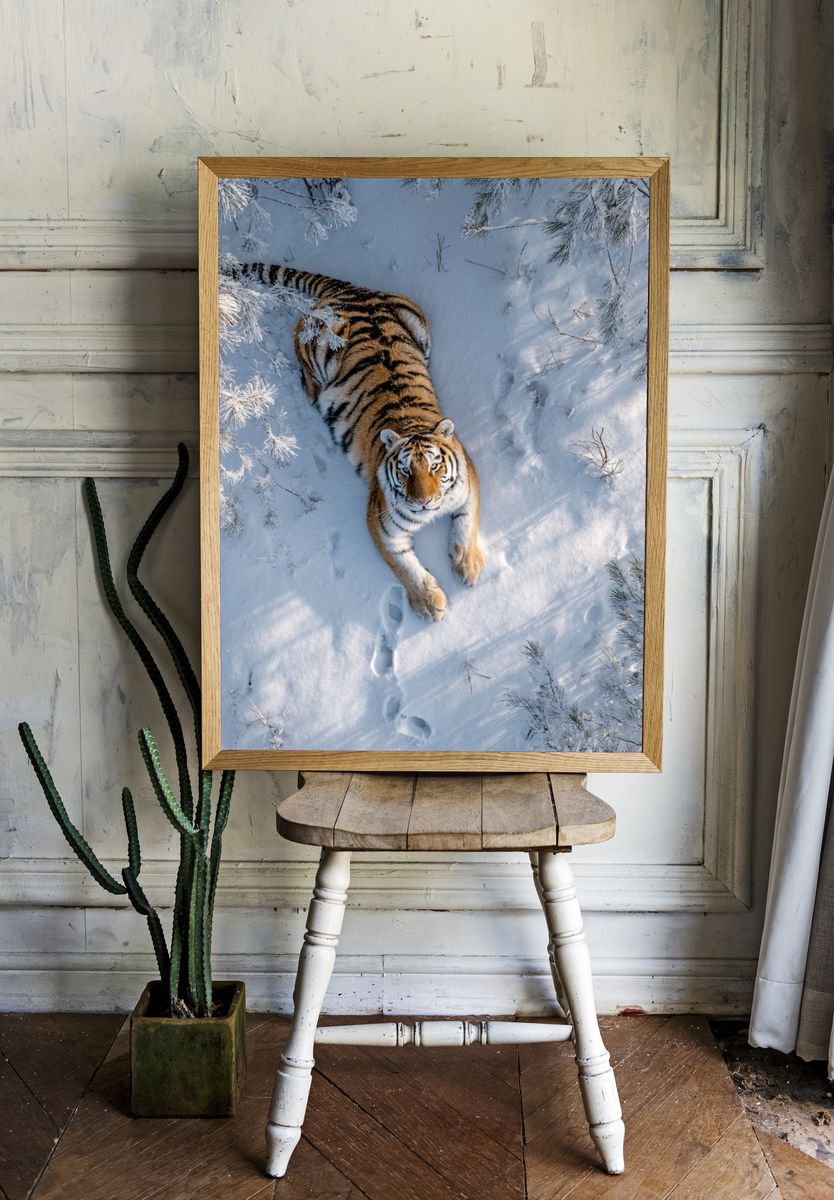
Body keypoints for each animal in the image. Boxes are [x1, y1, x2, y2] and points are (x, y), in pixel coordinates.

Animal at [225, 263, 485, 622]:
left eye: (435, 466)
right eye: (405, 470)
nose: (423, 503)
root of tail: (351, 290)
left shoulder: (468, 483)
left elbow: (465, 526)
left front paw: (468, 566)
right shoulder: (382, 524)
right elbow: (405, 566)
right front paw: (430, 603)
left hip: (419, 323)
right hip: (320, 340)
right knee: (298, 342)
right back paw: (312, 393)